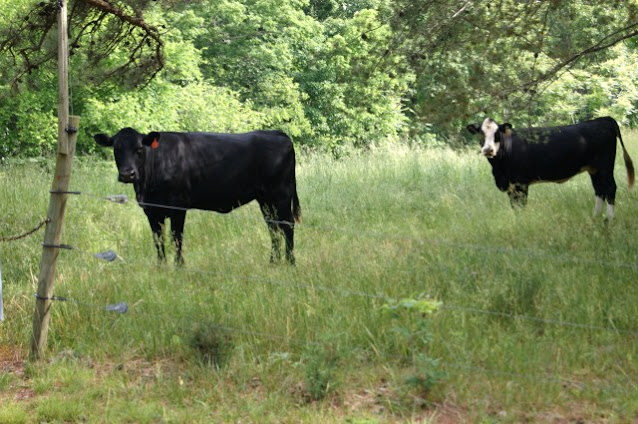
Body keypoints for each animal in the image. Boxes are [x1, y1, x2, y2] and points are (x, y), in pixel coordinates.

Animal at [95, 127, 302, 264]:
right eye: (116, 149)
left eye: (139, 149)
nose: (127, 174)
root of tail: (278, 133)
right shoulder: (151, 211)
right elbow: (158, 240)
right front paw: (161, 267)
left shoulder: (178, 206)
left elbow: (176, 237)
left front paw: (179, 266)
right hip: (265, 199)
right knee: (273, 227)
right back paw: (273, 262)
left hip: (281, 194)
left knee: (287, 225)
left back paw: (290, 263)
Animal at [468, 117, 636, 219]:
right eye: (481, 133)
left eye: (497, 133)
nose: (488, 150)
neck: (499, 169)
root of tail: (604, 119)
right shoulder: (510, 185)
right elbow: (514, 206)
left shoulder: (520, 183)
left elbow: (521, 205)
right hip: (594, 169)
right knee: (600, 190)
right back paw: (595, 218)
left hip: (605, 166)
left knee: (610, 188)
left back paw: (608, 220)